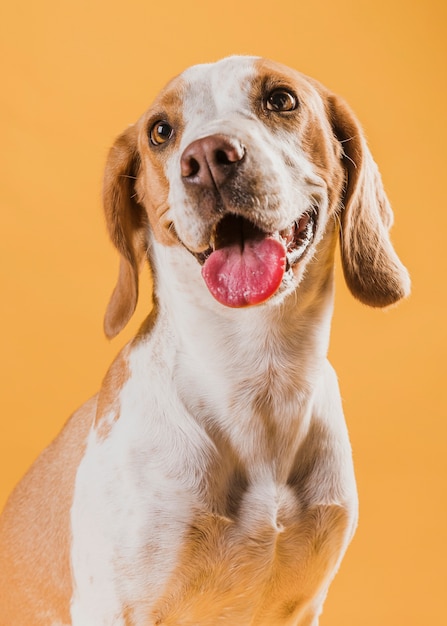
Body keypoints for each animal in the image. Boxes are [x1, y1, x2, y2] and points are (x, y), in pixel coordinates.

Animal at [0, 56, 412, 620]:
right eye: (159, 131)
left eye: (282, 99)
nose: (209, 158)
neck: (258, 377)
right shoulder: (119, 606)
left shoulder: (305, 605)